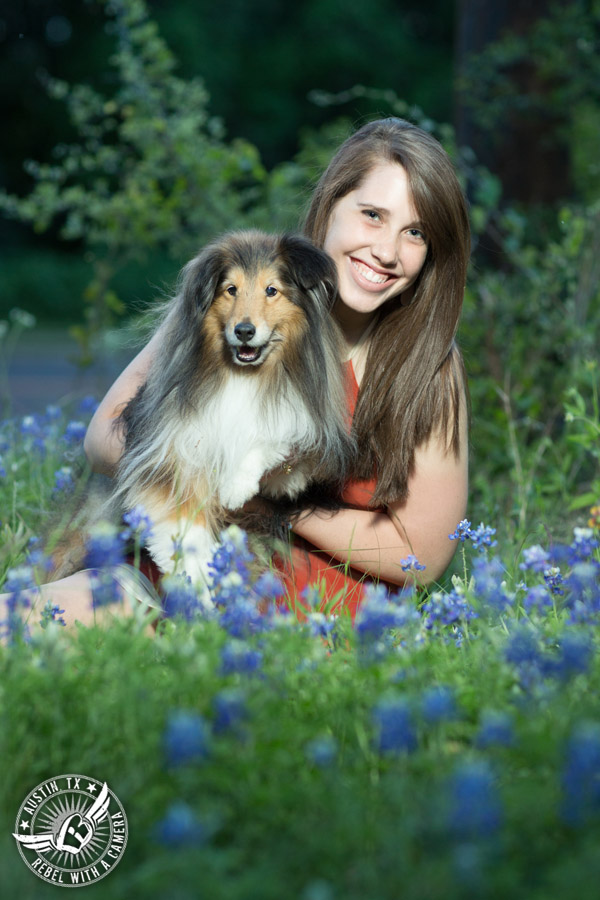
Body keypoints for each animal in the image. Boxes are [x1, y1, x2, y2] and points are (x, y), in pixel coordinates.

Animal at [51, 229, 356, 600]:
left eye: (271, 290)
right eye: (231, 289)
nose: (244, 331)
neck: (244, 377)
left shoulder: (299, 450)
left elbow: (276, 440)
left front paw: (237, 486)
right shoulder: (167, 456)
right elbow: (184, 525)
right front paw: (199, 582)